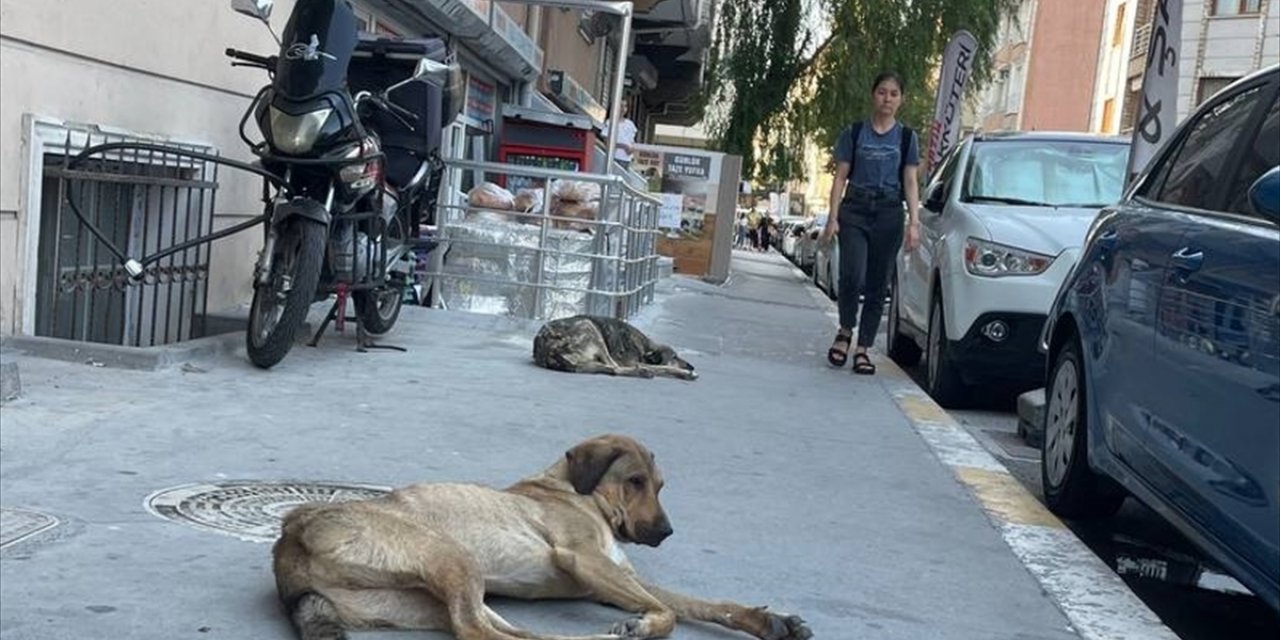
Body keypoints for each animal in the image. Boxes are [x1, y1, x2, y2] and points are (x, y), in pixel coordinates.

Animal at [272, 435, 808, 640]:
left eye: (659, 486)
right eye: (634, 481)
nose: (665, 532)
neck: (577, 492)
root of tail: (289, 537)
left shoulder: (615, 576)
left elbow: (705, 604)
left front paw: (769, 620)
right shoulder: (585, 559)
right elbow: (671, 612)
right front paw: (645, 626)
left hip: (430, 598)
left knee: (504, 631)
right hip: (454, 556)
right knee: (476, 632)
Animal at [532, 314, 701, 378]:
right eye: (675, 357)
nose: (691, 366)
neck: (644, 347)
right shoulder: (631, 361)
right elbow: (663, 367)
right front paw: (686, 372)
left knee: (611, 369)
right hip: (589, 326)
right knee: (615, 368)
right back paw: (642, 371)